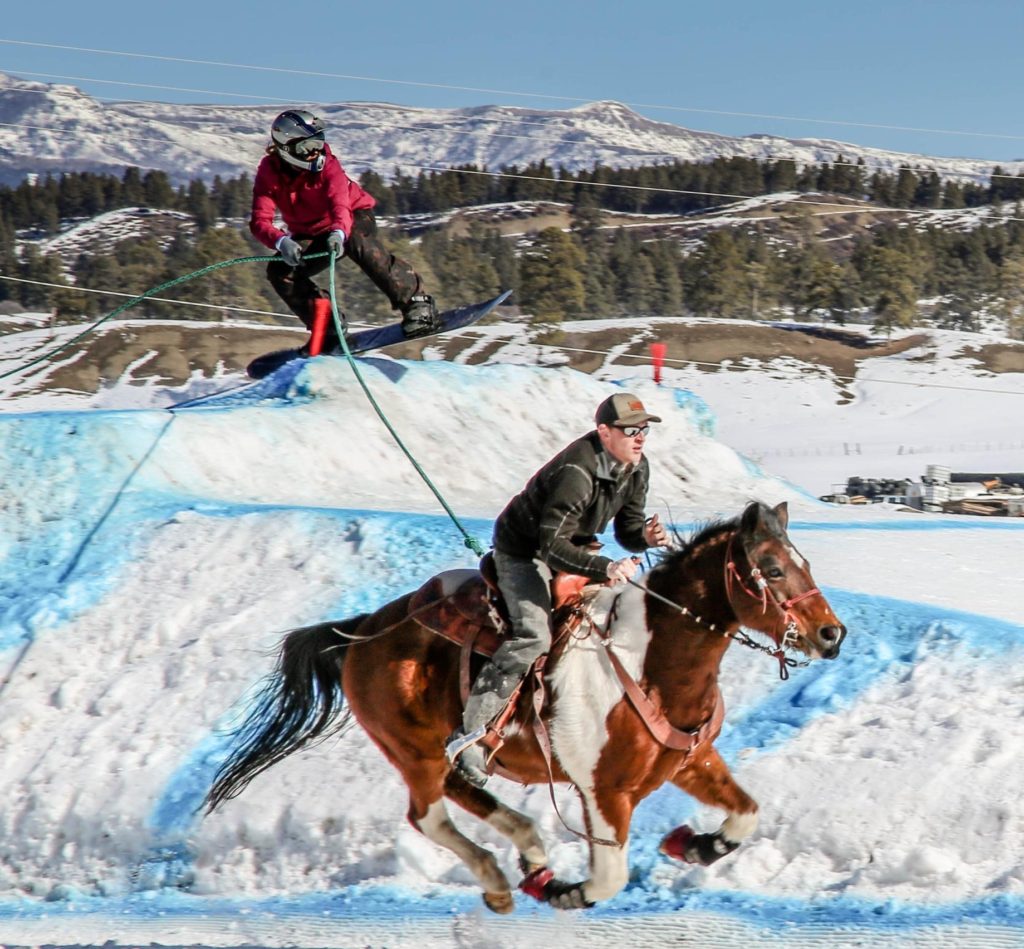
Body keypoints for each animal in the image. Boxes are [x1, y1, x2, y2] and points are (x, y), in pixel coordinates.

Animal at [203, 503, 843, 913]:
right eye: (774, 569)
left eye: (807, 563)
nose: (831, 634)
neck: (648, 661)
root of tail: (363, 630)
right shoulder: (603, 792)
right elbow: (608, 878)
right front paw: (567, 892)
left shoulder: (690, 760)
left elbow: (746, 814)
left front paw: (691, 842)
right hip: (410, 749)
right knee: (428, 815)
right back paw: (506, 875)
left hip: (437, 752)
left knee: (463, 788)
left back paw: (530, 853)